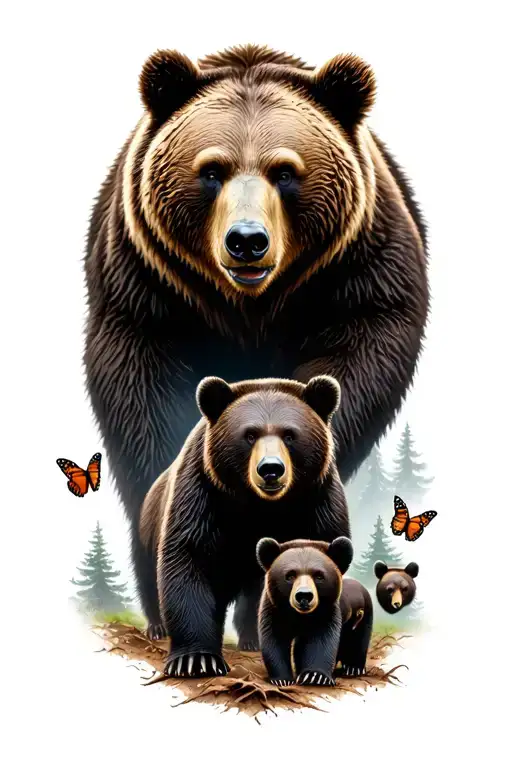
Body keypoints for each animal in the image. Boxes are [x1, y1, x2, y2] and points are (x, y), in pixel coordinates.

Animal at [84, 43, 429, 631]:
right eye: (212, 170)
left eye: (285, 171)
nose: (247, 240)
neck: (250, 305)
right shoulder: (146, 283)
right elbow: (144, 408)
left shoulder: (360, 269)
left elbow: (352, 372)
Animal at [138, 373, 350, 675]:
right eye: (250, 435)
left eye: (289, 434)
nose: (271, 469)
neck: (261, 507)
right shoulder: (203, 493)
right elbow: (189, 558)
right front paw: (196, 659)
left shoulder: (318, 502)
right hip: (149, 525)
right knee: (147, 574)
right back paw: (156, 627)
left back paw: (251, 639)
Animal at [256, 537, 373, 686]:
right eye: (290, 575)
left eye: (319, 576)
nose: (304, 596)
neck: (300, 616)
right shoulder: (274, 609)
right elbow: (275, 638)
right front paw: (282, 679)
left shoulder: (327, 611)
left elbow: (320, 640)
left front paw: (314, 676)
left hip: (363, 613)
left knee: (359, 638)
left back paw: (353, 668)